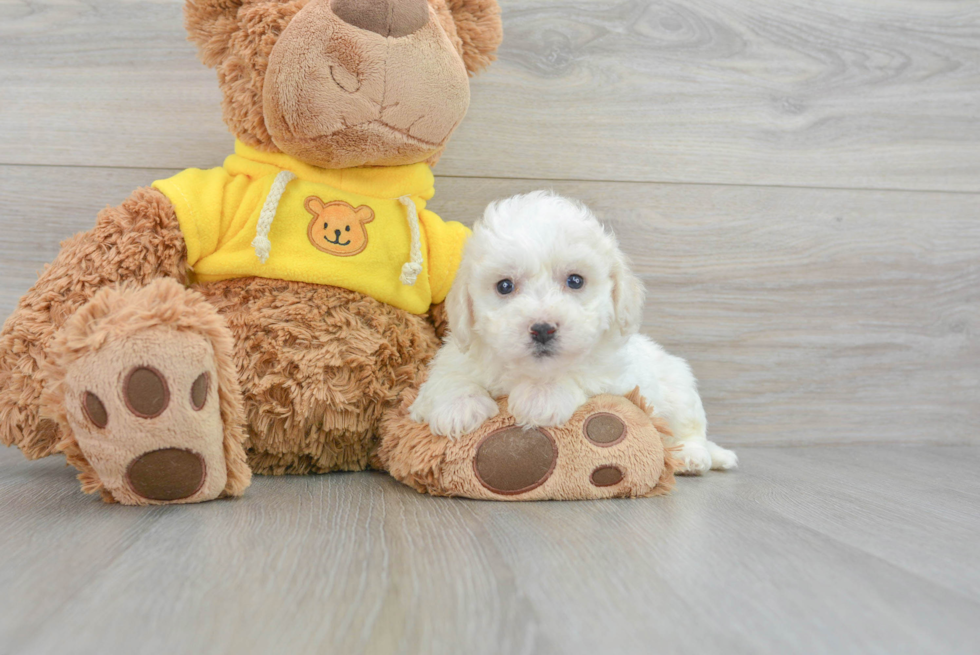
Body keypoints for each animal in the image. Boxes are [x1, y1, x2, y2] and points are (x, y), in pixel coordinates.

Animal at [410, 192, 740, 474]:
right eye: (504, 286)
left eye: (575, 281)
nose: (542, 329)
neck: (527, 370)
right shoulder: (455, 356)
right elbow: (448, 378)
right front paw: (459, 407)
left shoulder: (616, 376)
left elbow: (580, 372)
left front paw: (542, 396)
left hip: (679, 386)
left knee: (690, 429)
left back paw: (692, 456)